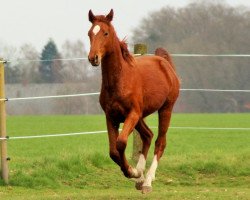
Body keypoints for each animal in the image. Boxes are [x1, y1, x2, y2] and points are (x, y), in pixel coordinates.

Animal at [88, 9, 180, 194]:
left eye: (105, 33)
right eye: (89, 33)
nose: (93, 58)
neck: (121, 80)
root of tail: (164, 62)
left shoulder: (132, 113)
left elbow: (121, 143)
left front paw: (132, 172)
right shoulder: (111, 117)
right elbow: (113, 151)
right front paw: (135, 173)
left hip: (165, 109)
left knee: (160, 142)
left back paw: (147, 181)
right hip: (140, 116)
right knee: (148, 135)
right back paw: (140, 178)